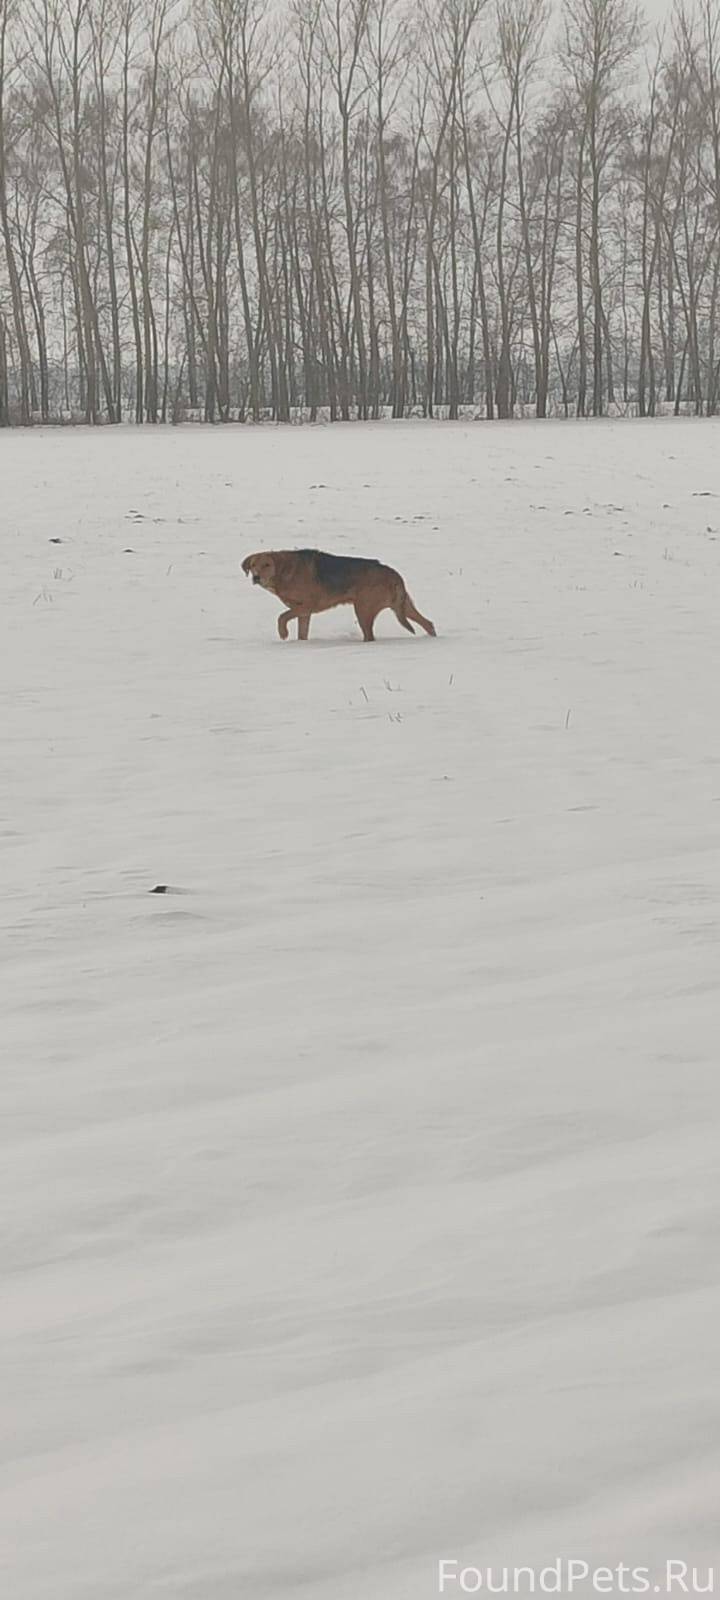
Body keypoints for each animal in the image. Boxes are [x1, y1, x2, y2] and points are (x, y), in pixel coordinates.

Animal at [241, 548, 436, 642]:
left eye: (267, 565)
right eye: (253, 565)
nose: (256, 577)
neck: (285, 571)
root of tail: (393, 573)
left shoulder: (307, 606)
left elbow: (281, 617)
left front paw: (283, 634)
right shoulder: (304, 613)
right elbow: (302, 633)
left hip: (364, 609)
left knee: (370, 637)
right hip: (402, 605)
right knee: (429, 623)